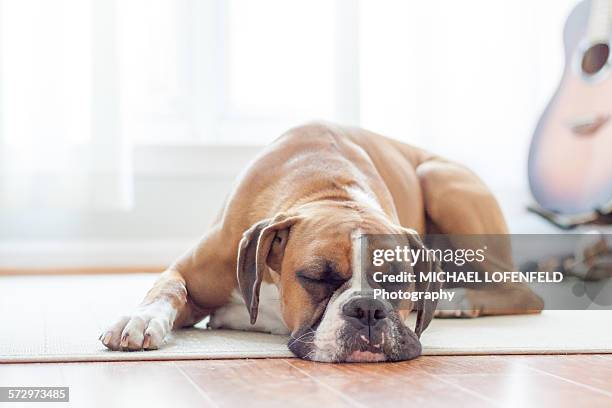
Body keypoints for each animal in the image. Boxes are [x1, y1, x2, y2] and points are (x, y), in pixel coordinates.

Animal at [100, 122, 544, 362]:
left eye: (397, 282)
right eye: (316, 277)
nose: (368, 309)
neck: (328, 188)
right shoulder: (191, 272)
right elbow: (168, 287)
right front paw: (140, 319)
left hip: (439, 180)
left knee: (524, 290)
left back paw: (458, 300)